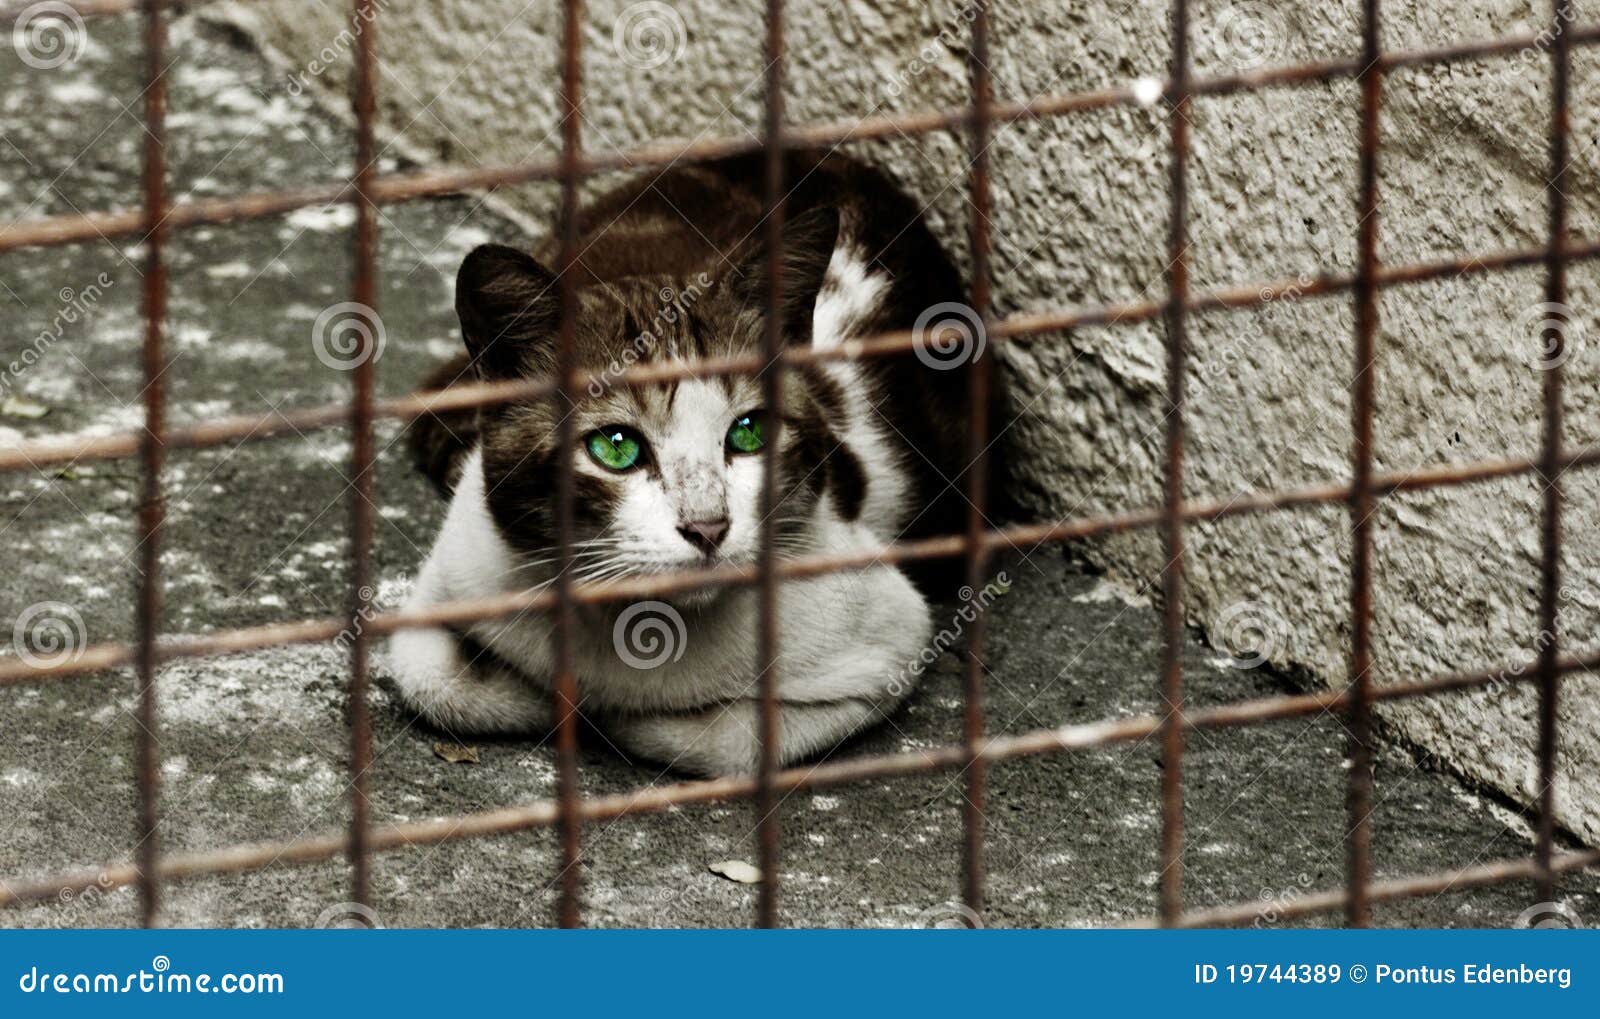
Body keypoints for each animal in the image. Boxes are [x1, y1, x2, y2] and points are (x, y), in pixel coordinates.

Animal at [387, 148, 992, 771]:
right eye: (616, 446)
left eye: (749, 432)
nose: (708, 527)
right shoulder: (457, 571)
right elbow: (429, 678)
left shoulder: (889, 636)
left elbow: (728, 740)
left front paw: (599, 712)